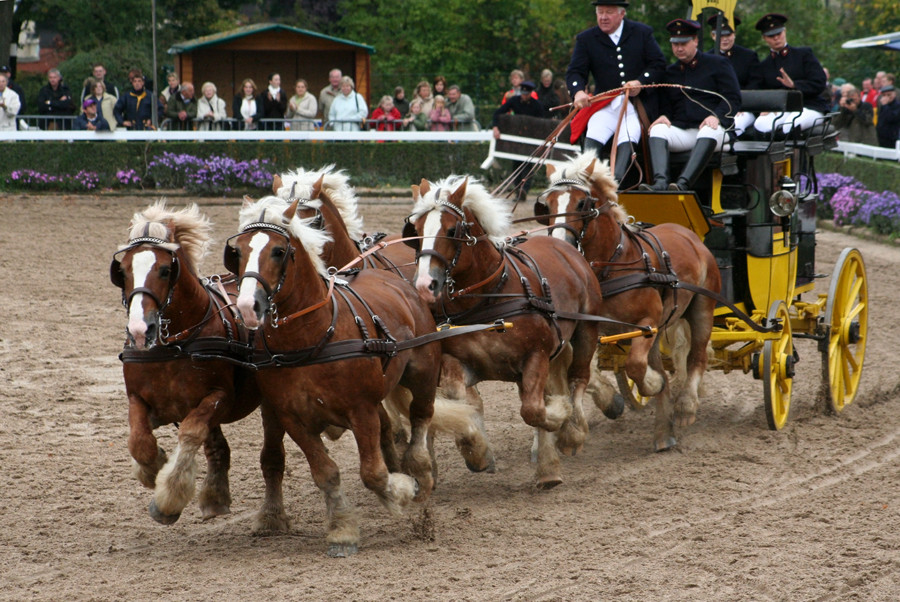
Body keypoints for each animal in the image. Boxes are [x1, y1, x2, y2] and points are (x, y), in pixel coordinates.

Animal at [110, 202, 288, 528]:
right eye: (123, 271)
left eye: (165, 270)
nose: (140, 330)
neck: (176, 343)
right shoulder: (142, 400)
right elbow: (139, 441)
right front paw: (154, 467)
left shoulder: (219, 398)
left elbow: (191, 432)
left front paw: (168, 496)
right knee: (218, 448)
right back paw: (215, 496)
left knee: (271, 457)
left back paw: (271, 516)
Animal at [227, 195, 442, 556]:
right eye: (237, 252)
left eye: (278, 251)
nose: (246, 306)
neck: (310, 338)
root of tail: (397, 281)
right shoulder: (293, 418)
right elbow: (326, 473)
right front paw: (342, 529)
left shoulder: (360, 410)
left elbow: (372, 473)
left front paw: (399, 493)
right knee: (390, 428)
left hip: (423, 371)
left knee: (421, 417)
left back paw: (420, 475)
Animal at [406, 176, 604, 486]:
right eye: (415, 231)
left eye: (452, 230)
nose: (425, 285)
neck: (490, 294)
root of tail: (564, 247)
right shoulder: (460, 363)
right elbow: (462, 401)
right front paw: (477, 452)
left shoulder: (536, 356)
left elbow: (533, 410)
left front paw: (561, 422)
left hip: (585, 330)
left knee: (578, 379)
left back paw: (571, 432)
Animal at [536, 151, 724, 450]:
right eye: (547, 205)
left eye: (582, 202)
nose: (560, 243)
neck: (611, 265)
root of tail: (688, 233)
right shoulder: (590, 328)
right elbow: (586, 373)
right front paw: (607, 406)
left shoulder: (648, 321)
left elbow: (635, 365)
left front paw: (653, 385)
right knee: (662, 362)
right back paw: (664, 432)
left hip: (702, 309)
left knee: (697, 356)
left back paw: (685, 407)